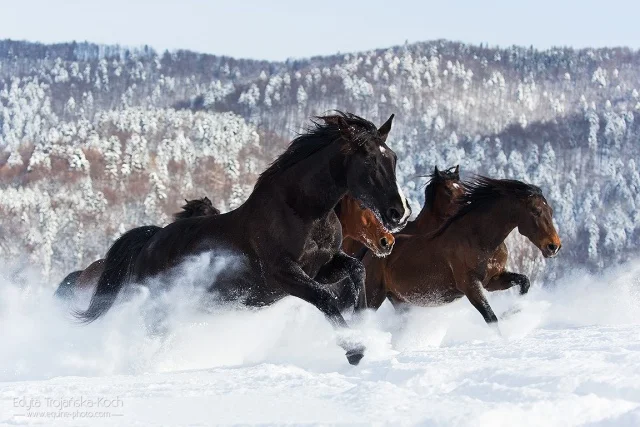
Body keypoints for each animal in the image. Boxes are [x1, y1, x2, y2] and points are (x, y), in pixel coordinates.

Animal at [75, 111, 410, 364]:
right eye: (368, 159)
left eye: (392, 157)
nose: (398, 213)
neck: (301, 211)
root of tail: (150, 241)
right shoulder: (284, 275)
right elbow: (325, 299)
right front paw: (354, 350)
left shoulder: (321, 268)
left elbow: (356, 270)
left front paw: (363, 330)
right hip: (158, 307)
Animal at [362, 177, 564, 328]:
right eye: (536, 211)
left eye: (550, 210)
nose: (554, 246)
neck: (480, 239)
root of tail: (368, 253)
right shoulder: (469, 285)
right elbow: (490, 317)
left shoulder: (492, 280)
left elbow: (524, 282)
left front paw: (511, 313)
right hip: (373, 296)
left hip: (399, 301)